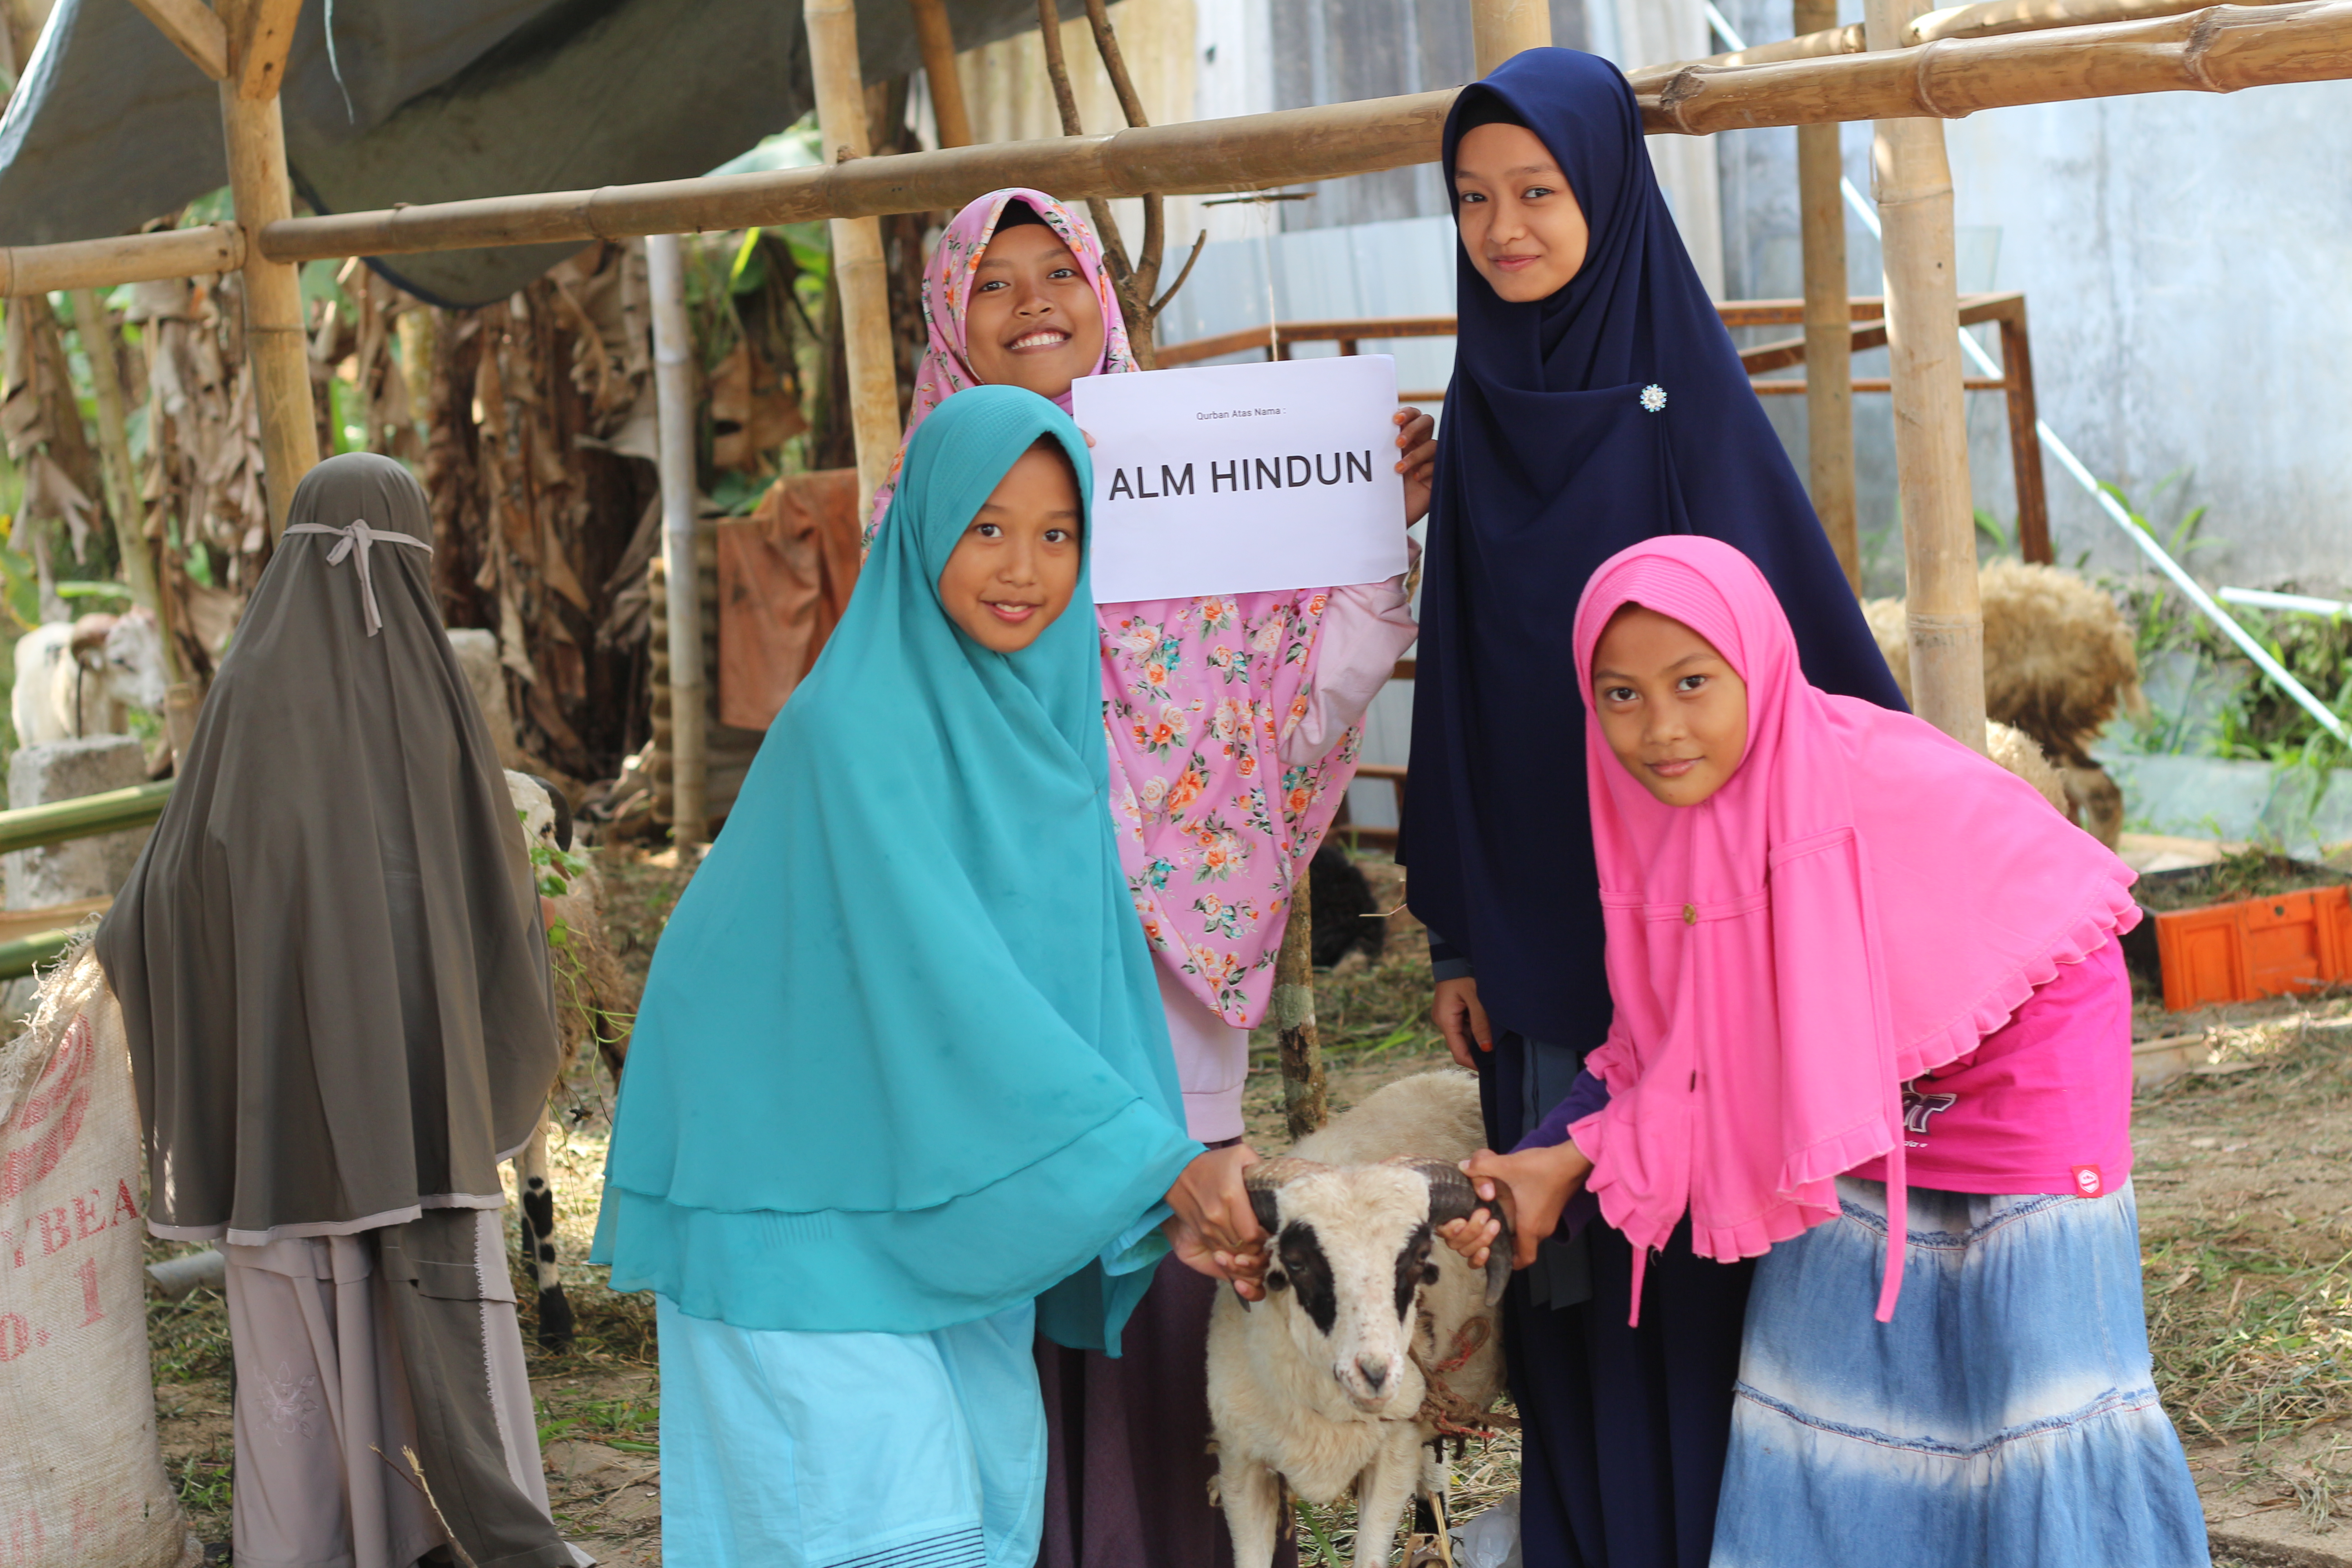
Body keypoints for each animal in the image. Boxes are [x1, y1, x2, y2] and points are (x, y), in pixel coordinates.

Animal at [1213, 1072, 1505, 1568]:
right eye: (1296, 1262)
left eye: (1419, 1259)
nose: (1375, 1374)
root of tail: (1453, 1077)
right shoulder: (1241, 1465)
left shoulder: (1393, 1453)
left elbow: (1369, 1556)